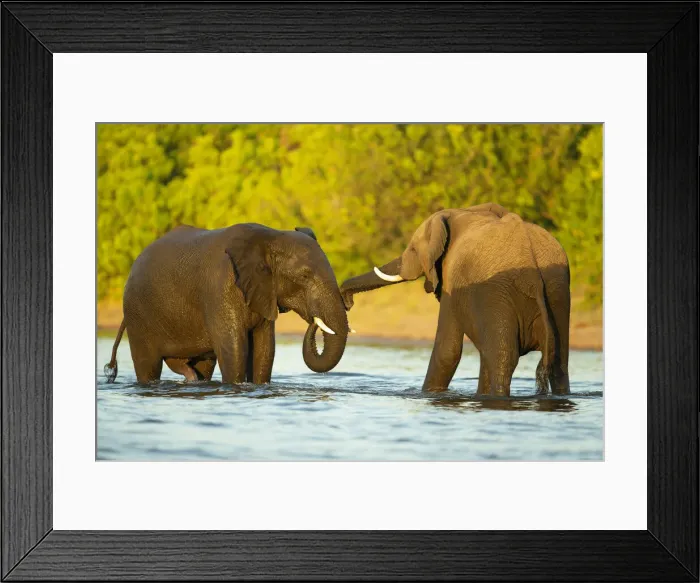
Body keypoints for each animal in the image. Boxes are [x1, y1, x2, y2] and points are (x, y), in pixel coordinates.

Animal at [104, 223, 350, 384]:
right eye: (305, 276)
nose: (314, 321)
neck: (270, 238)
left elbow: (265, 350)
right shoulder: (221, 289)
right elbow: (235, 350)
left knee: (202, 366)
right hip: (138, 313)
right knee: (148, 366)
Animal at [340, 203, 570, 396]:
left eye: (413, 249)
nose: (347, 303)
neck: (461, 212)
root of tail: (533, 275)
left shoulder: (453, 279)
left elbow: (447, 350)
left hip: (498, 293)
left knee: (503, 358)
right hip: (556, 290)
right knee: (558, 360)